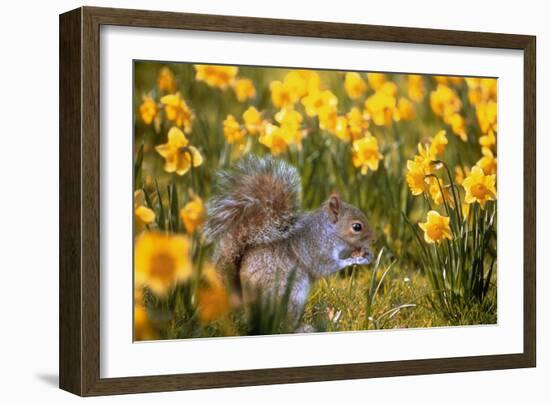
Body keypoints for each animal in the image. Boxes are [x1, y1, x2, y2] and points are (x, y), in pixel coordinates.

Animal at [205, 156, 378, 330]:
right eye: (357, 227)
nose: (374, 239)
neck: (328, 230)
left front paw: (366, 255)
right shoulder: (315, 248)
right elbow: (326, 266)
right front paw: (354, 259)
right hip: (290, 296)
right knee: (284, 324)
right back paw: (302, 328)